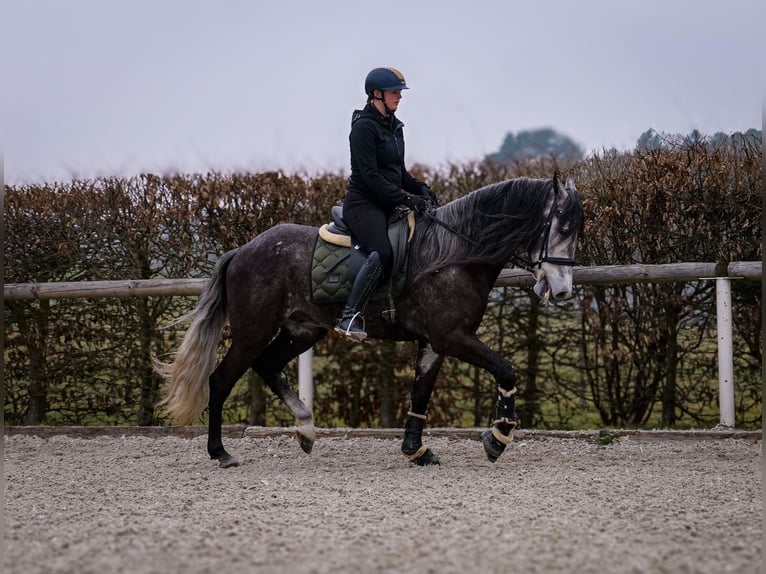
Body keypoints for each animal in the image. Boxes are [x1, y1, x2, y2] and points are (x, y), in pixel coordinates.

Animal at [158, 174, 588, 468]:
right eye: (561, 227)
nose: (563, 291)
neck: (454, 253)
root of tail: (243, 250)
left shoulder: (434, 342)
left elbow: (420, 394)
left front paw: (416, 450)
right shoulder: (453, 337)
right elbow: (506, 370)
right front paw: (498, 438)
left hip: (301, 330)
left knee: (266, 366)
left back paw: (305, 429)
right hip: (253, 330)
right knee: (220, 380)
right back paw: (221, 452)